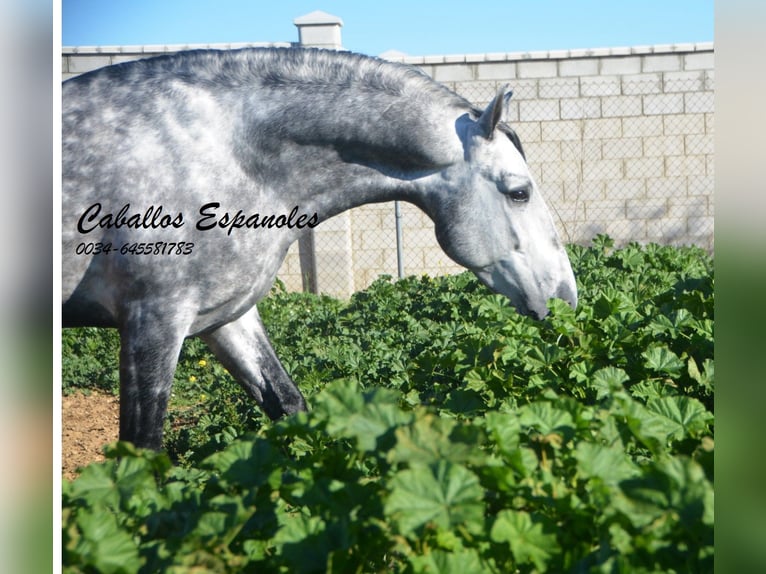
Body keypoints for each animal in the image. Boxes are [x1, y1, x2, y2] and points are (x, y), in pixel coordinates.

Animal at [61, 48, 576, 450]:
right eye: (519, 192)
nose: (565, 299)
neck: (228, 153)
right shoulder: (154, 321)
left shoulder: (224, 317)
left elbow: (288, 404)